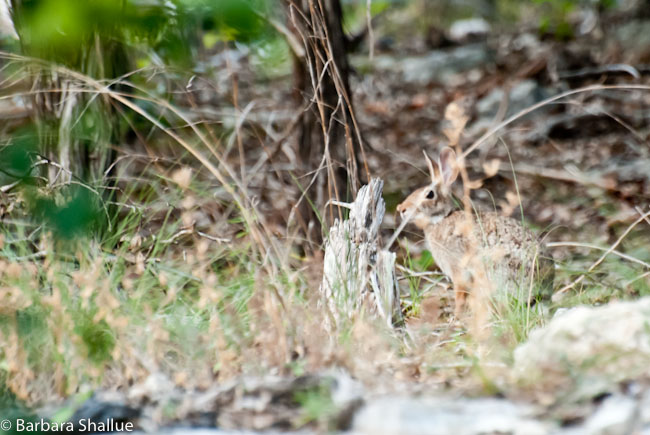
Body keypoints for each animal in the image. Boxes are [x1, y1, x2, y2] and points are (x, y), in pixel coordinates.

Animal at [396, 147, 554, 317]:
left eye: (429, 194)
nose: (401, 209)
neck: (441, 218)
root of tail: (543, 290)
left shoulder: (458, 269)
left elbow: (459, 295)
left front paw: (456, 315)